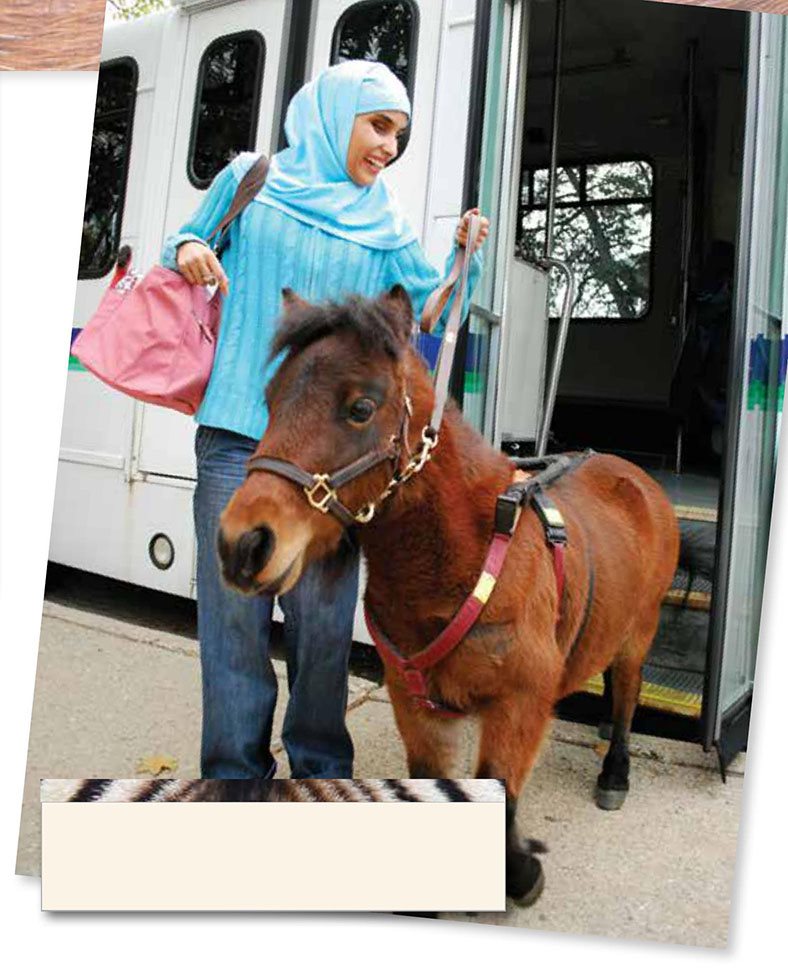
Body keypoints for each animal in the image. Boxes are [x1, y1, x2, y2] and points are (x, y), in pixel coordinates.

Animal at [217, 288, 684, 908]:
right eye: (269, 402)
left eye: (360, 408)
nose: (241, 544)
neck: (457, 565)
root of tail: (633, 475)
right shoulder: (416, 707)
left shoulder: (518, 705)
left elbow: (502, 801)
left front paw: (522, 875)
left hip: (640, 631)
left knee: (629, 695)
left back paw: (615, 772)